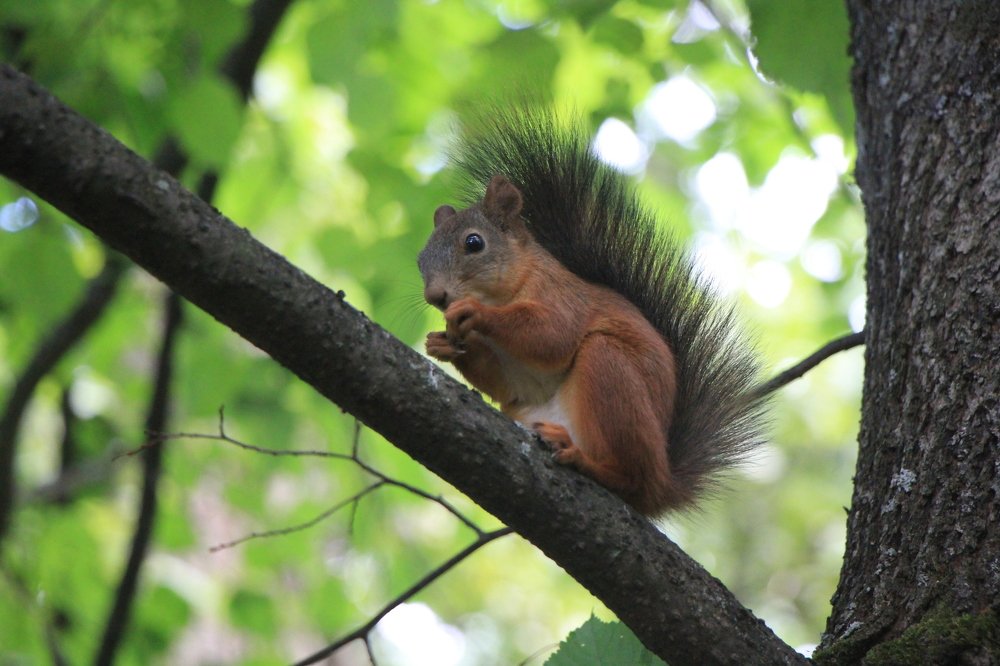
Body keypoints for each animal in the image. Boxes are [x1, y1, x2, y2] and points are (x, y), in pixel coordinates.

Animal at [417, 108, 766, 516]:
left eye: (474, 243)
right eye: (421, 258)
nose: (436, 296)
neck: (509, 289)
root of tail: (662, 484)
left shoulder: (563, 298)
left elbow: (552, 336)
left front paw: (473, 313)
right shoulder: (515, 386)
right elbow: (506, 384)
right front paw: (443, 344)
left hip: (610, 373)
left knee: (630, 477)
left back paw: (584, 460)